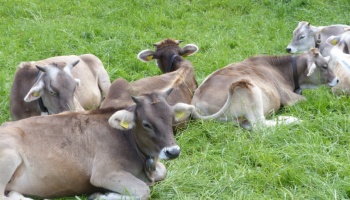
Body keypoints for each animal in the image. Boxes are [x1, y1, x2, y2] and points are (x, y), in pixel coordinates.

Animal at [0, 88, 193, 200]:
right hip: (9, 157)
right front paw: (101, 195)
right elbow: (143, 190)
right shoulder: (103, 173)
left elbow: (162, 171)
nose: (173, 151)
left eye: (172, 118)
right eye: (146, 124)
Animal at [189, 48, 340, 130]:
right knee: (259, 125)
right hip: (248, 90)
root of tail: (196, 102)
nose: (337, 80)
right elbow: (305, 99)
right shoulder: (289, 97)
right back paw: (292, 120)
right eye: (324, 66)